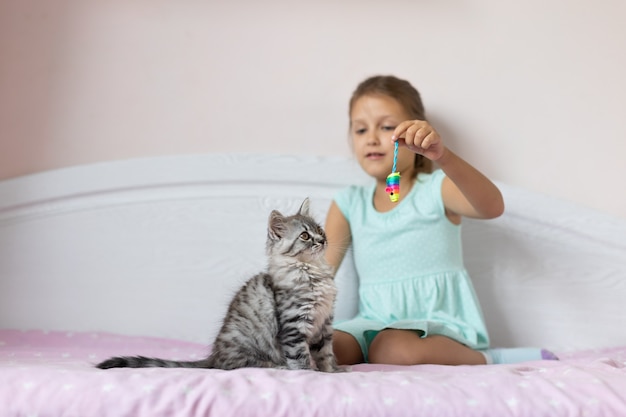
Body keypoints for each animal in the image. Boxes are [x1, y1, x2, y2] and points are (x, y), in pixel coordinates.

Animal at [96, 197, 342, 372]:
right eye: (304, 236)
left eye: (319, 229)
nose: (322, 240)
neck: (312, 271)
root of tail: (214, 355)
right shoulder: (294, 326)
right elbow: (301, 358)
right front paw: (309, 374)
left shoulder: (324, 325)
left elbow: (326, 355)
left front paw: (333, 371)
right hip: (247, 348)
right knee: (238, 365)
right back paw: (278, 366)